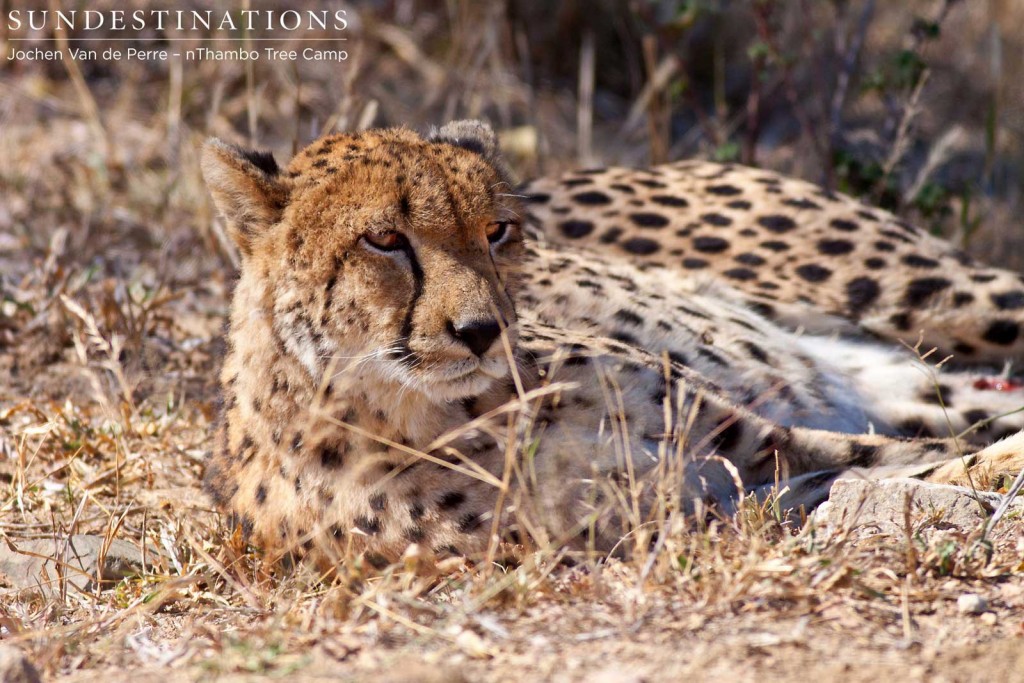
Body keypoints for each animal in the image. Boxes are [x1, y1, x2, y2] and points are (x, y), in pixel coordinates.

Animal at [199, 120, 1024, 569]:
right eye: (384, 240)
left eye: (497, 231)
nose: (482, 330)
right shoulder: (721, 504)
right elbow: (906, 469)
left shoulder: (754, 444)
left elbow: (916, 461)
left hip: (929, 297)